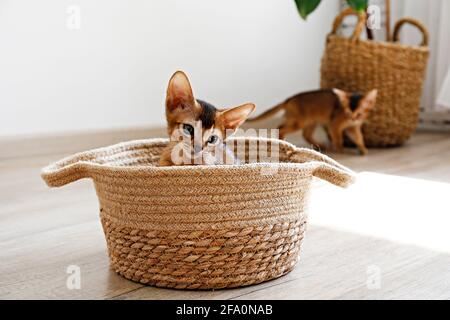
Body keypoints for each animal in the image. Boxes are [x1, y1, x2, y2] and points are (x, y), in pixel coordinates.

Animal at [248, 88, 378, 154]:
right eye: (347, 113)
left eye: (359, 114)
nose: (352, 118)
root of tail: (288, 99)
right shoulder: (334, 125)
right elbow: (338, 139)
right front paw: (341, 149)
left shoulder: (353, 127)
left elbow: (359, 138)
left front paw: (363, 149)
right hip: (300, 122)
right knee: (280, 127)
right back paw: (282, 143)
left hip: (311, 122)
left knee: (306, 135)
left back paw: (320, 146)